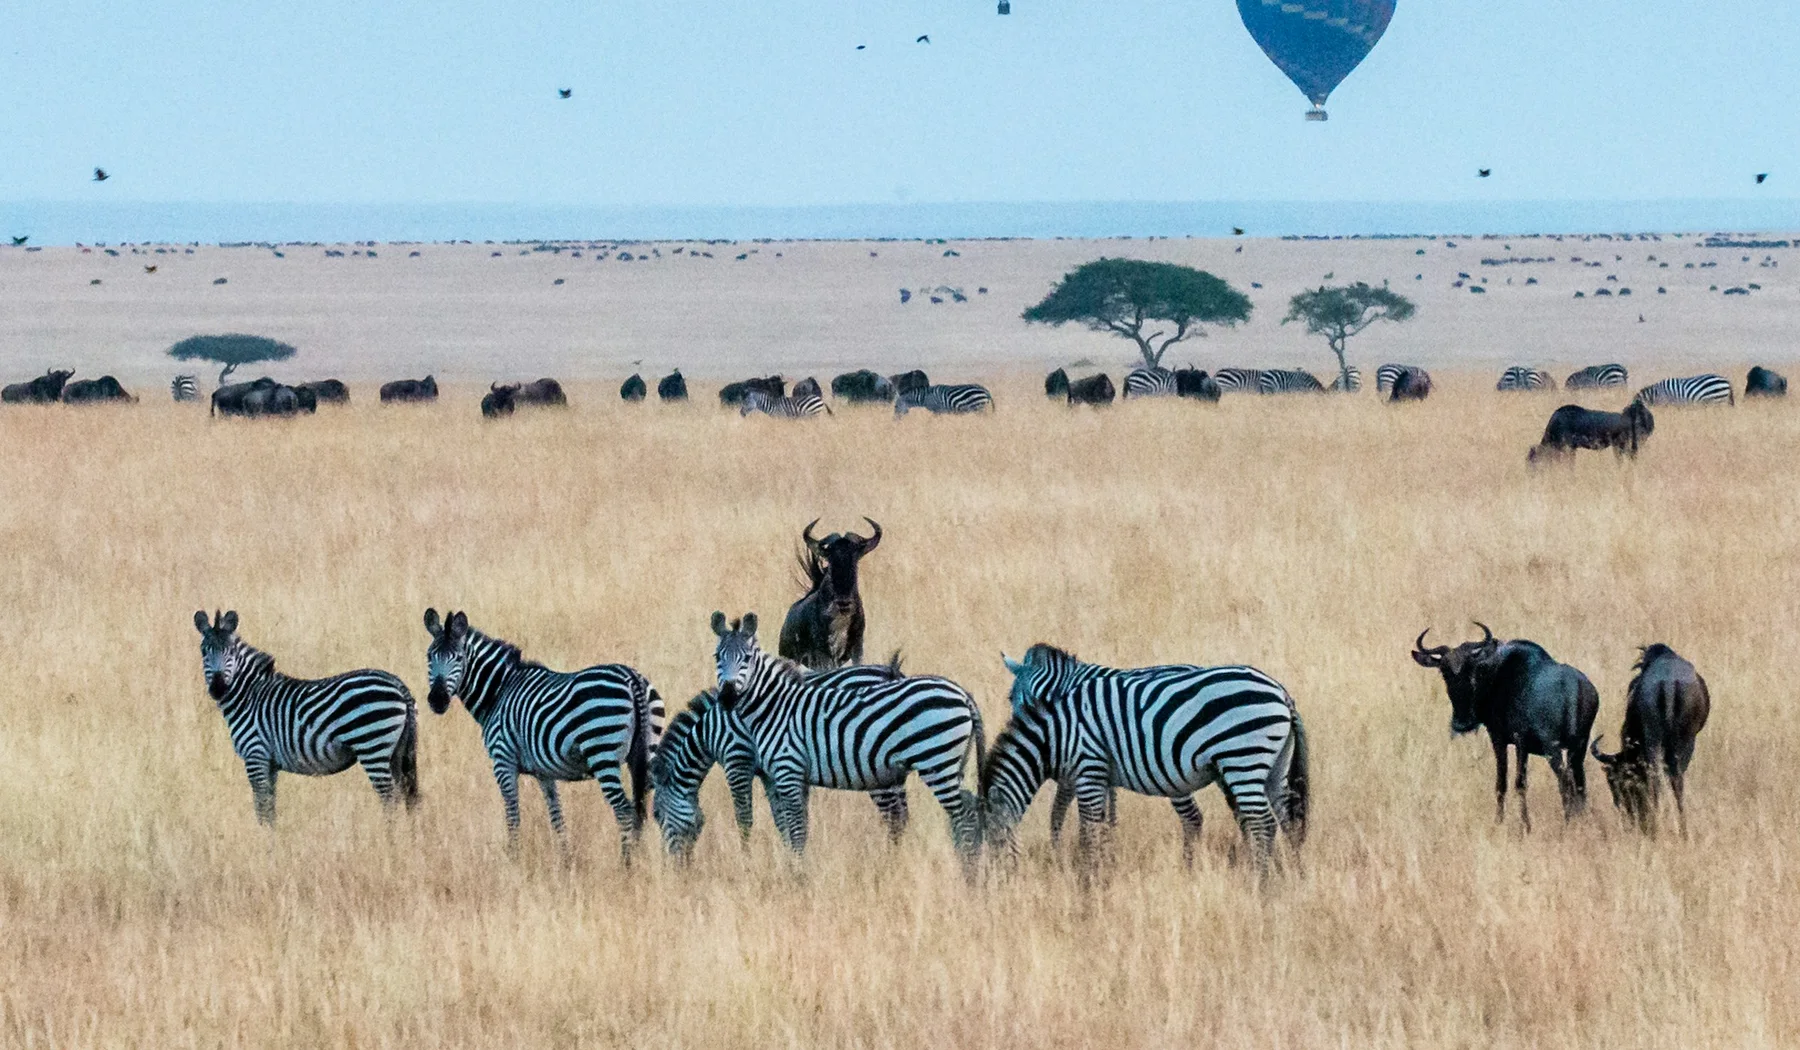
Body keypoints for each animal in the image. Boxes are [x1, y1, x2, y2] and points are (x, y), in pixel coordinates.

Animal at [193, 610, 418, 826]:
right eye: (204, 651)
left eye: (230, 651)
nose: (218, 688)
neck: (250, 695)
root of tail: (396, 682)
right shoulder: (269, 763)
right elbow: (270, 807)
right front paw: (273, 836)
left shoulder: (255, 755)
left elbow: (261, 806)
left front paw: (262, 836)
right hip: (397, 750)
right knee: (406, 794)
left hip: (372, 745)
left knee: (389, 798)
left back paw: (388, 836)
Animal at [422, 609, 663, 860]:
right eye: (429, 656)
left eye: (458, 658)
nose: (437, 700)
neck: (499, 691)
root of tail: (632, 679)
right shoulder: (544, 772)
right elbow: (556, 816)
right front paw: (566, 859)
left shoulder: (503, 761)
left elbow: (513, 814)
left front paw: (514, 858)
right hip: (647, 753)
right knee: (644, 809)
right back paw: (641, 859)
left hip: (602, 753)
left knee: (625, 810)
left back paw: (626, 863)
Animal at [710, 612, 985, 867]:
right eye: (717, 657)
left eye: (747, 658)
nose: (727, 697)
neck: (775, 706)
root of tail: (963, 694)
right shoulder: (785, 775)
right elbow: (794, 826)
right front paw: (794, 864)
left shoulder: (781, 768)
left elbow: (785, 825)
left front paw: (794, 870)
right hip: (950, 764)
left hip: (935, 761)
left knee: (963, 817)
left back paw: (967, 866)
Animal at [985, 644, 1308, 874]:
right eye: (1011, 699)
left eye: (1026, 700)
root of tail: (1281, 692)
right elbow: (1092, 814)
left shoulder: (1086, 761)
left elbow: (1073, 815)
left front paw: (1080, 860)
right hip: (1266, 767)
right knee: (1282, 819)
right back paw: (1289, 872)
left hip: (1236, 759)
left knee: (1244, 819)